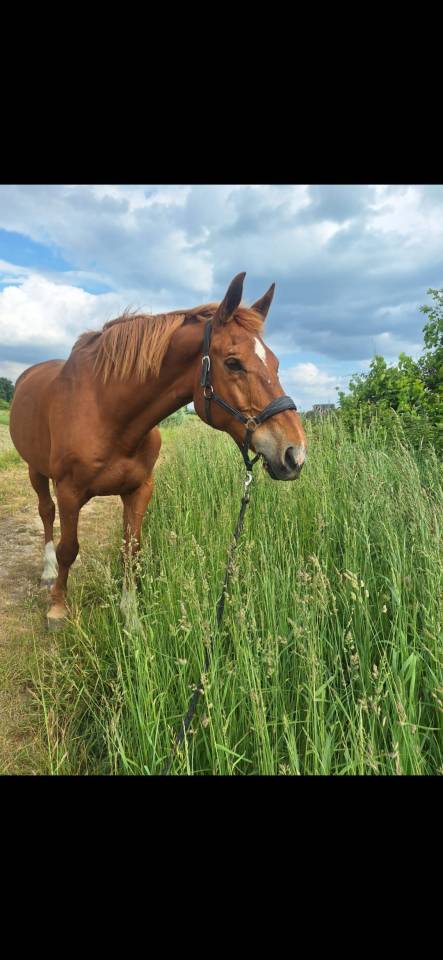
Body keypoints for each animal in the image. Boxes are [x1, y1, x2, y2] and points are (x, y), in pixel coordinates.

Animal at [9, 272, 307, 629]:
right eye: (233, 363)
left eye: (275, 364)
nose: (294, 454)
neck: (108, 414)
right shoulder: (69, 491)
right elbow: (69, 548)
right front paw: (57, 608)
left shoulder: (139, 490)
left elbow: (131, 550)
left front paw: (131, 617)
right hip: (36, 471)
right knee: (45, 512)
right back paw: (48, 571)